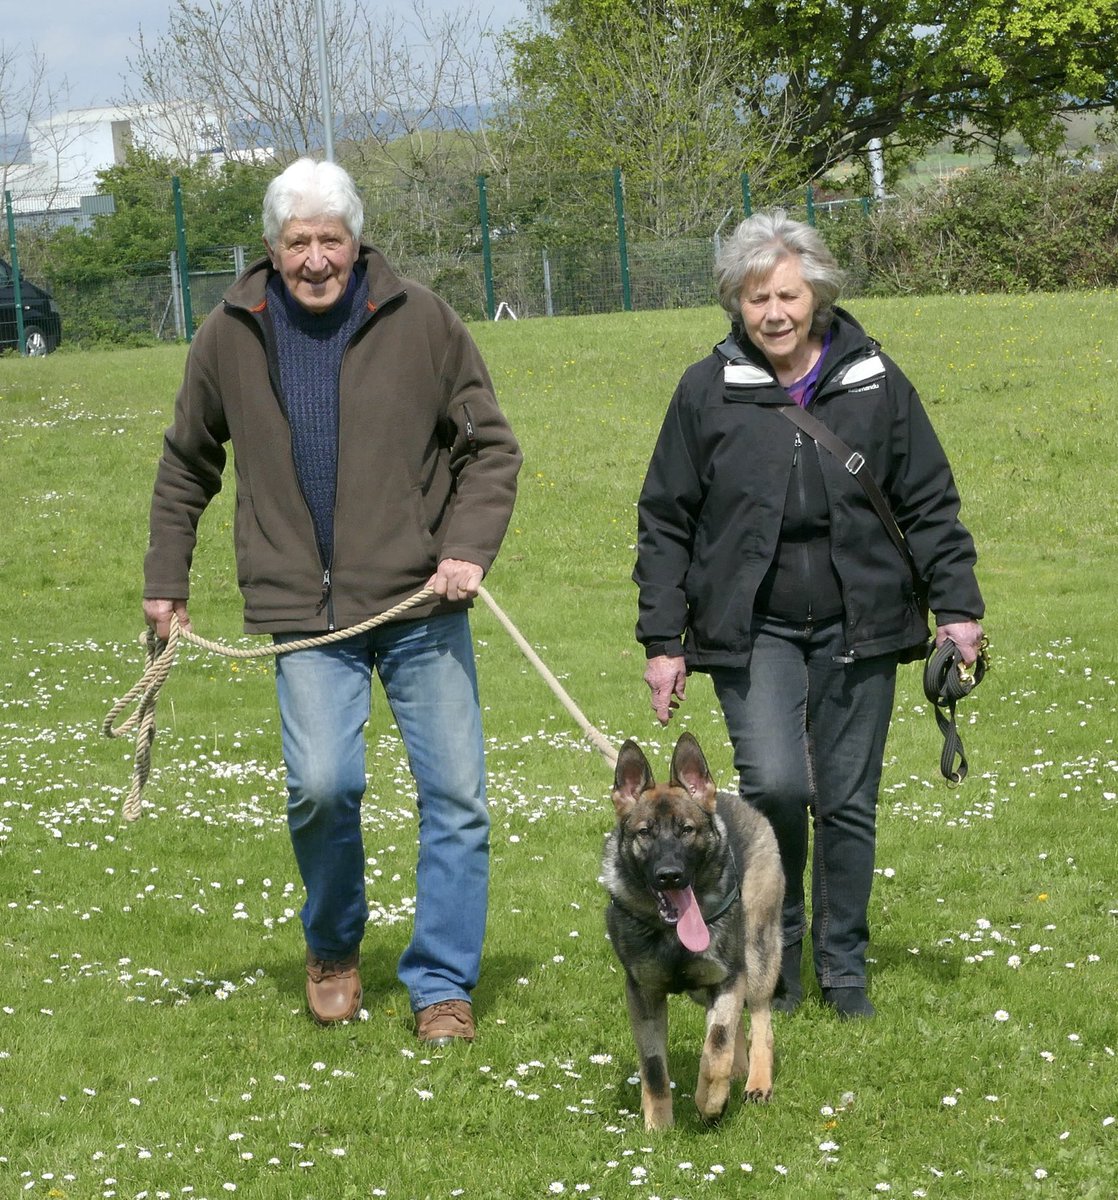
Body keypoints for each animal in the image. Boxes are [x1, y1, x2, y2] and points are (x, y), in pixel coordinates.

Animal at [606, 724, 782, 1128]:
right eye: (645, 833)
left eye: (687, 830)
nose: (669, 875)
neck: (671, 933)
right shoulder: (644, 995)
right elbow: (654, 1067)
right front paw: (658, 1126)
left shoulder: (729, 976)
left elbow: (715, 1045)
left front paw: (711, 1102)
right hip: (707, 988)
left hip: (757, 957)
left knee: (759, 1022)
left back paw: (756, 1082)